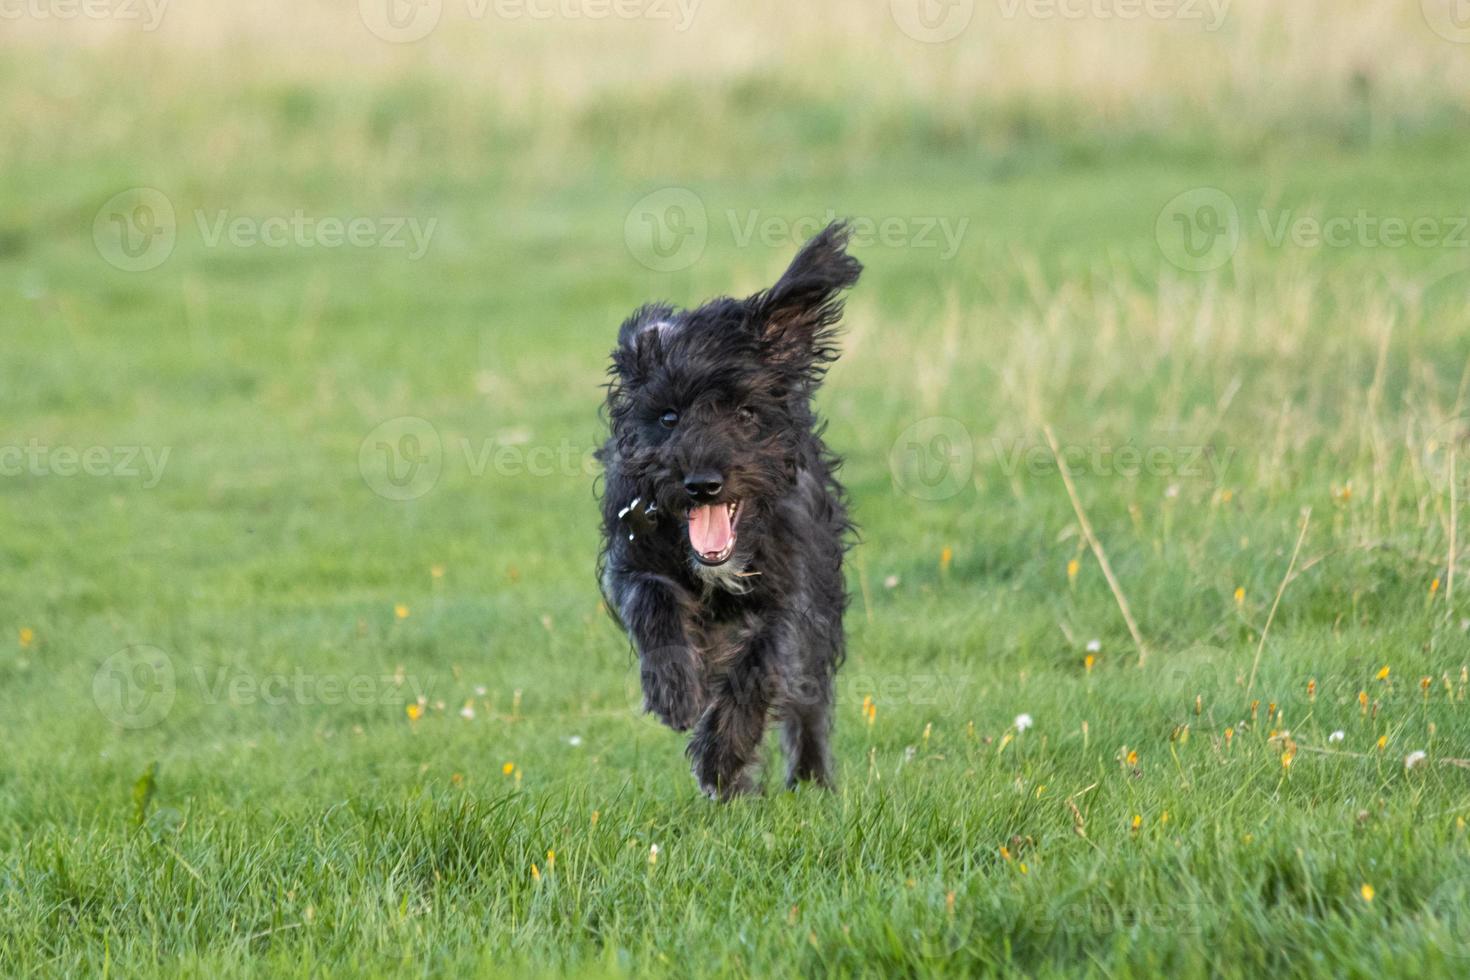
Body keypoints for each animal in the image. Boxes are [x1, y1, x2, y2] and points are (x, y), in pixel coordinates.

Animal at [599, 220, 858, 799]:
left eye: (744, 413)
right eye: (668, 417)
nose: (702, 484)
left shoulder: (793, 596)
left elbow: (761, 665)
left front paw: (720, 758)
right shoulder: (632, 559)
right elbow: (651, 600)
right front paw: (674, 691)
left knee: (808, 702)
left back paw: (808, 779)